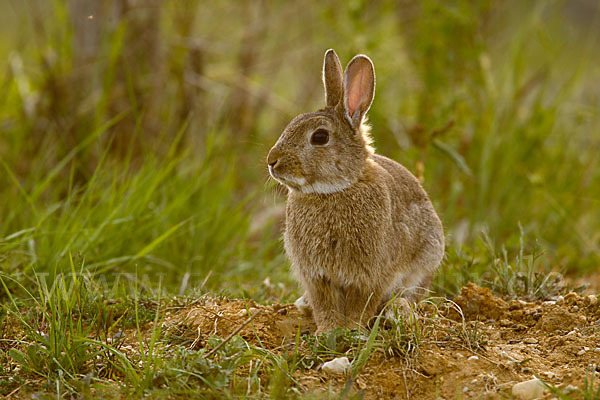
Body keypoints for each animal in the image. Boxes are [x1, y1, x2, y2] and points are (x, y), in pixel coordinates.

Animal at [268, 50, 446, 334]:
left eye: (320, 137)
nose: (272, 161)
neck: (335, 190)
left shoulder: (371, 274)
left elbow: (361, 304)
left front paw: (352, 330)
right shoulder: (316, 275)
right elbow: (324, 305)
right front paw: (327, 331)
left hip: (427, 259)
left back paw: (398, 312)